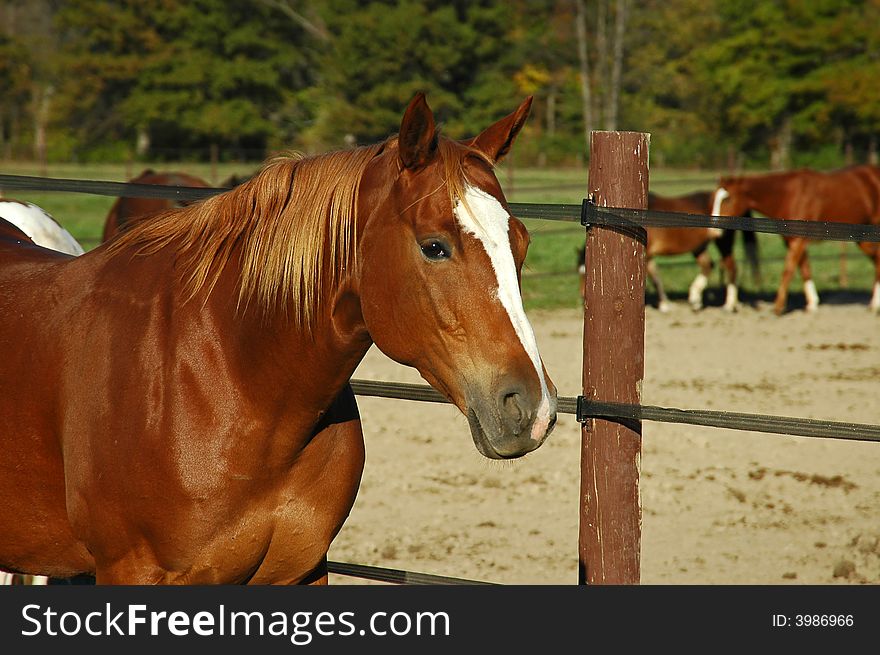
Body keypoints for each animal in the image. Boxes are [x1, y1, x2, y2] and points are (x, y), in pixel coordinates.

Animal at [576, 190, 760, 312]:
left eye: (587, 272)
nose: (582, 295)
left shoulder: (648, 254)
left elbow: (655, 277)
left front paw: (664, 304)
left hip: (722, 242)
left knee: (731, 267)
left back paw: (729, 304)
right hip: (699, 247)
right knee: (708, 265)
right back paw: (696, 299)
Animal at [716, 167, 880, 316]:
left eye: (727, 198)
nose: (716, 227)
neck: (789, 195)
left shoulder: (798, 241)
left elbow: (788, 270)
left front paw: (778, 307)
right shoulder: (793, 241)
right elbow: (805, 268)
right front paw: (812, 304)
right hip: (862, 238)